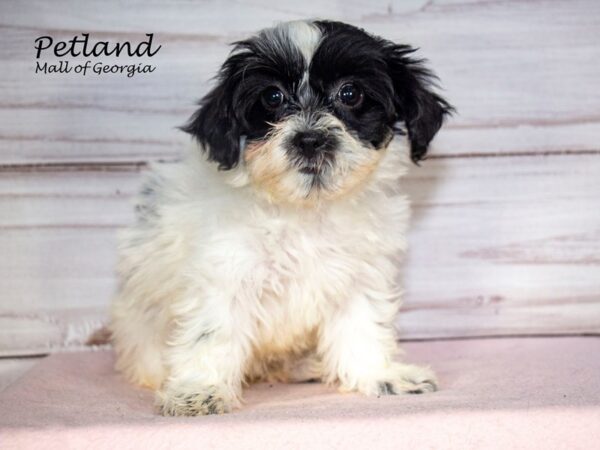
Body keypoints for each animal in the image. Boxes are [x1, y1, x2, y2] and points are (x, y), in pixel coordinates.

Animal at [110, 20, 452, 414]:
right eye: (272, 97)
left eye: (350, 93)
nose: (310, 140)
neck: (304, 210)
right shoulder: (225, 273)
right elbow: (212, 333)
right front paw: (200, 390)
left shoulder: (359, 277)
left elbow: (363, 325)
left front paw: (380, 375)